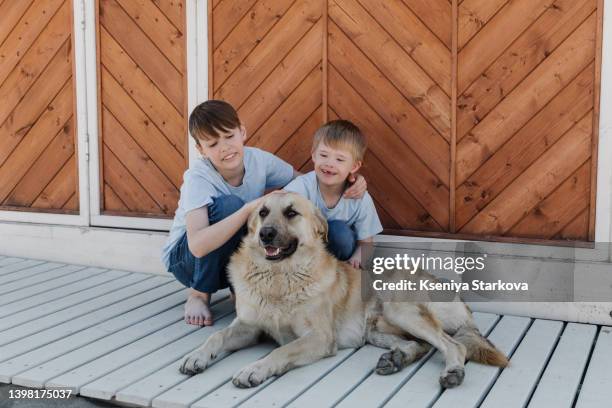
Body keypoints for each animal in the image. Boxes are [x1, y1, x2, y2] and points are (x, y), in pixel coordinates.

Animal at [178, 193, 506, 388]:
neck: (280, 277)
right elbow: (217, 336)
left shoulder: (319, 337)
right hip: (377, 328)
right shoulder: (249, 327)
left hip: (399, 308)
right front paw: (197, 356)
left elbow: (282, 349)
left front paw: (254, 368)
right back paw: (396, 359)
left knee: (453, 345)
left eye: (291, 213)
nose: (266, 234)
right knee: (422, 345)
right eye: (262, 212)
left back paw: (452, 371)